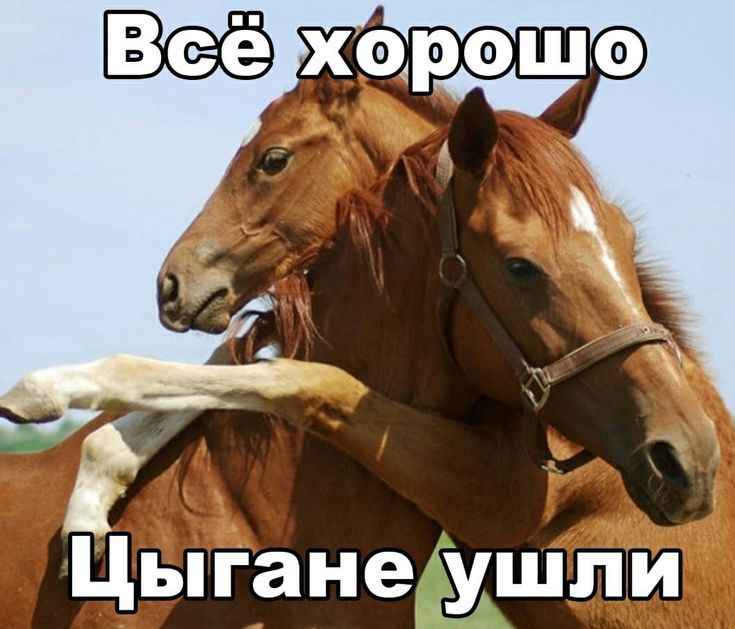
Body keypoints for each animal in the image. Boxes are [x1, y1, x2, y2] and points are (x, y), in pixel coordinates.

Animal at [3, 75, 729, 629]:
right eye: (521, 265)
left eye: (271, 158)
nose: (691, 460)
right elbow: (254, 367)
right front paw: (93, 470)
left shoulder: (499, 491)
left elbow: (298, 376)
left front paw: (82, 433)